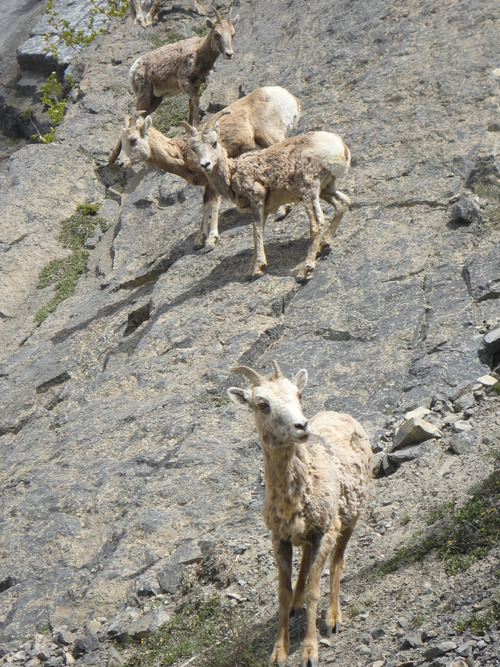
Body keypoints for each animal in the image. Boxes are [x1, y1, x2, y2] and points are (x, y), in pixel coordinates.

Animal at [110, 86, 300, 249]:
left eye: (133, 140)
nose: (120, 164)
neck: (181, 153)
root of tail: (286, 97)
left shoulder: (212, 178)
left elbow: (214, 204)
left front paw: (210, 240)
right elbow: (205, 204)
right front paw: (199, 240)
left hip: (271, 139)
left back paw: (282, 211)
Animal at [180, 120, 351, 282]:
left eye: (214, 143)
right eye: (194, 149)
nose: (205, 165)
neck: (232, 172)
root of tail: (341, 147)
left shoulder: (257, 198)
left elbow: (256, 231)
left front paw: (257, 270)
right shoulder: (266, 208)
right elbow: (258, 233)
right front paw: (252, 269)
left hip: (309, 188)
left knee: (317, 223)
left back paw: (304, 271)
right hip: (326, 188)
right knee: (343, 202)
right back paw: (324, 245)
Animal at [227, 361, 372, 667]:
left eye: (298, 394)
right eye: (262, 404)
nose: (302, 426)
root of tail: (343, 416)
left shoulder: (325, 533)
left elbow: (315, 590)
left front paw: (309, 652)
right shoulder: (279, 538)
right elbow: (282, 593)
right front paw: (278, 652)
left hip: (349, 521)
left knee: (337, 563)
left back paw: (333, 619)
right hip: (306, 537)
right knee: (304, 563)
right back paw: (297, 605)